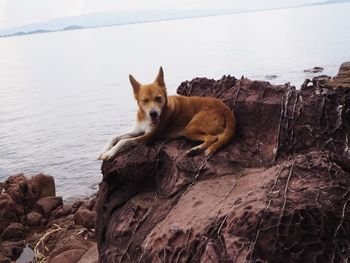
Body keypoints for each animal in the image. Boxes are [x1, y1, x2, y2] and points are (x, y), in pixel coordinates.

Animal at [97, 66, 237, 161]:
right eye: (144, 101)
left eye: (158, 98)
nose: (153, 113)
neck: (145, 117)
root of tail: (226, 108)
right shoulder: (137, 130)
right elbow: (115, 137)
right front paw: (103, 151)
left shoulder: (149, 137)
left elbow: (124, 141)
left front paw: (109, 153)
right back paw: (195, 150)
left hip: (190, 128)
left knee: (213, 138)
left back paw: (195, 149)